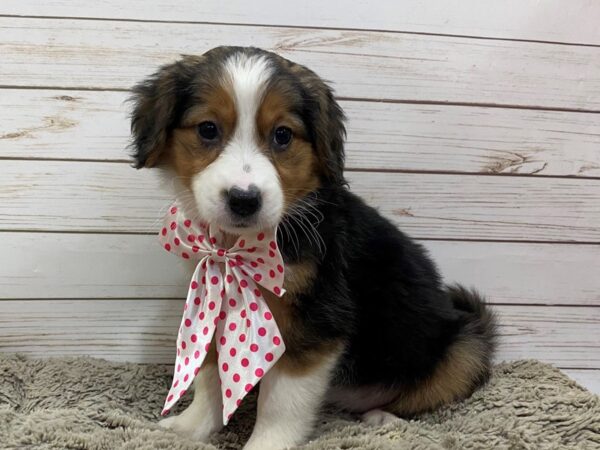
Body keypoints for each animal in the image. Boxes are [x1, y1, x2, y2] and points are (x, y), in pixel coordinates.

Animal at [131, 46, 496, 450]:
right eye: (207, 129)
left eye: (282, 135)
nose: (244, 200)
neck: (243, 246)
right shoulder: (214, 300)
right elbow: (211, 375)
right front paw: (190, 427)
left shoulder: (317, 323)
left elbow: (281, 403)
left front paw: (265, 445)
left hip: (463, 351)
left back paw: (383, 418)